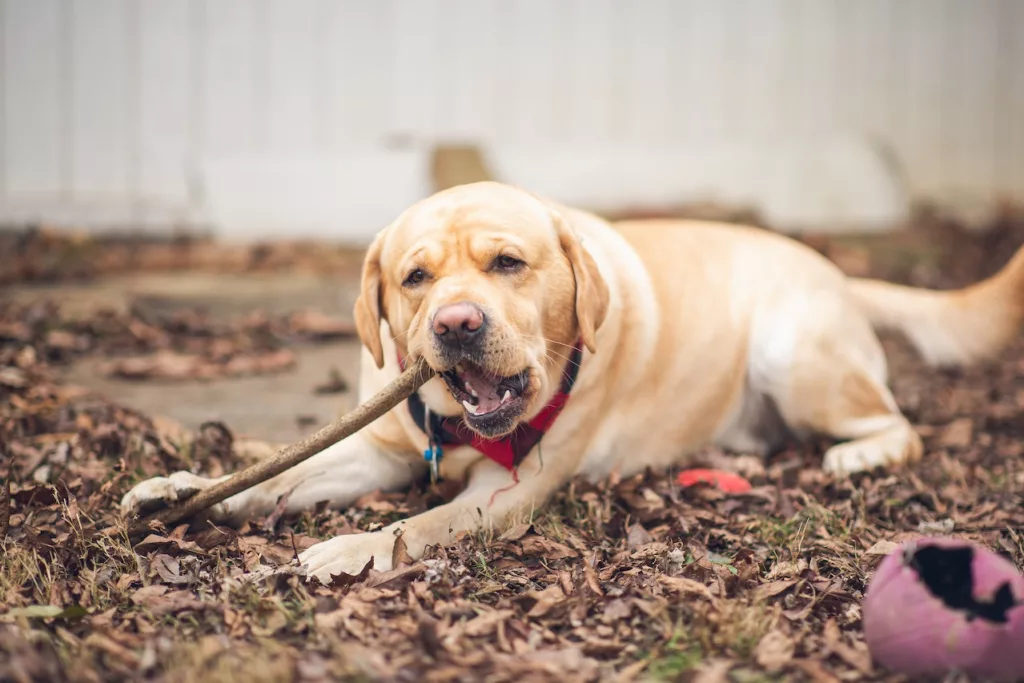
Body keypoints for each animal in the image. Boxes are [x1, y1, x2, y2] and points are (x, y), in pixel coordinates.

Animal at [121, 180, 1024, 581]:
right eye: (415, 278)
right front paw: (181, 488)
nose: (456, 324)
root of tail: (835, 270)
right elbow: (277, 473)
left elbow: (418, 525)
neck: (454, 426)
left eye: (507, 263)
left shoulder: (509, 492)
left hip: (793, 348)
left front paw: (348, 547)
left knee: (900, 424)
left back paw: (858, 456)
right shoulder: (379, 448)